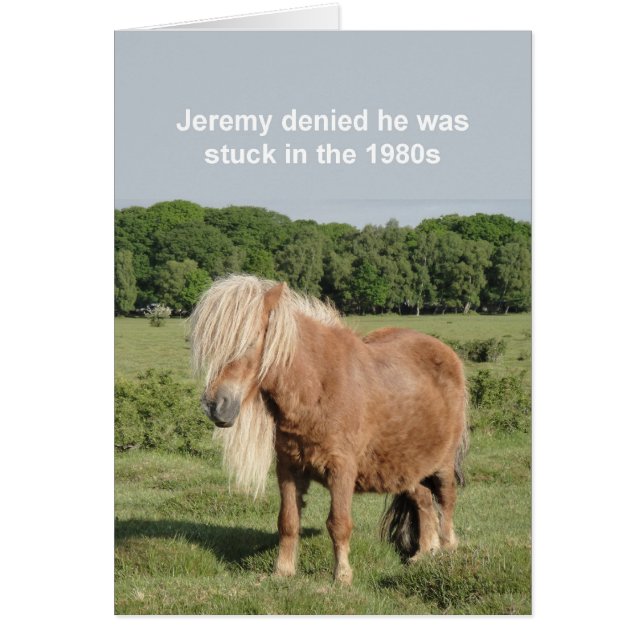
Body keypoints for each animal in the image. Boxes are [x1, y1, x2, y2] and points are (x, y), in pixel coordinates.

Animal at [190, 274, 469, 584]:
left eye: (250, 342)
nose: (215, 406)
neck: (318, 385)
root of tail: (447, 354)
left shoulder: (341, 470)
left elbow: (338, 523)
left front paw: (342, 576)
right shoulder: (288, 468)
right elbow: (288, 521)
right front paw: (283, 571)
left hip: (442, 464)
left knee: (446, 502)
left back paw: (446, 554)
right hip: (405, 466)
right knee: (423, 501)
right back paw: (423, 555)